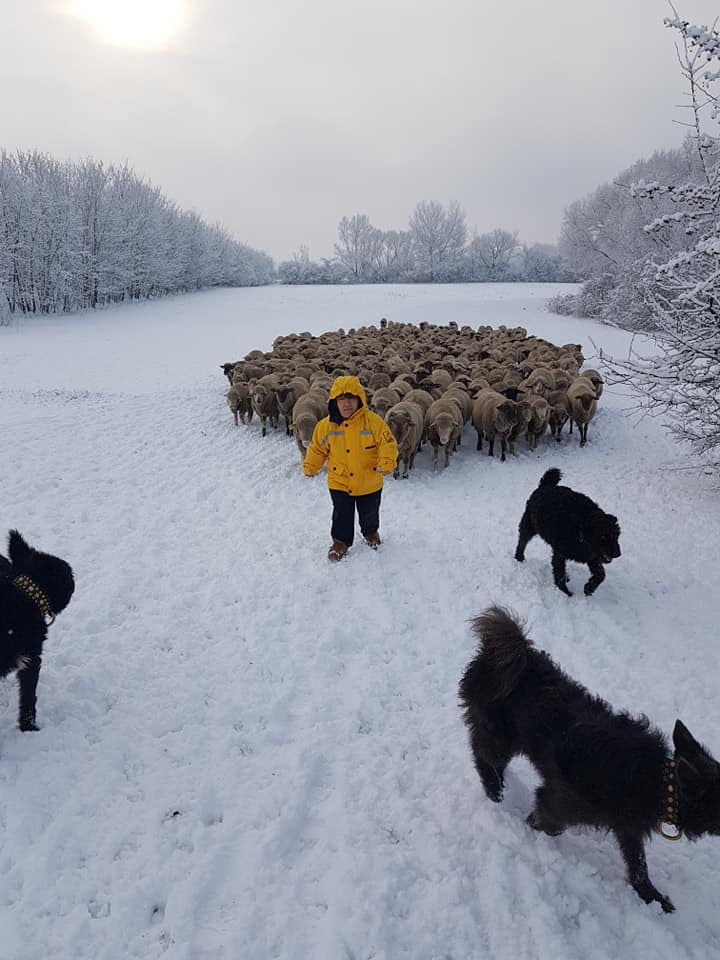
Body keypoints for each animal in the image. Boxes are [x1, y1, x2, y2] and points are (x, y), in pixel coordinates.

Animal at [458, 608, 720, 916]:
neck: (654, 780)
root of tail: (511, 652)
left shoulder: (628, 829)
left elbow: (638, 867)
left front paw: (651, 897)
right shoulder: (557, 802)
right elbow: (549, 823)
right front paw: (532, 828)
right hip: (499, 736)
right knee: (482, 755)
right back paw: (494, 789)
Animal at [516, 468, 620, 596]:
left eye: (617, 535)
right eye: (603, 536)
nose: (618, 553)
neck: (580, 528)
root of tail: (546, 485)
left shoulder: (592, 556)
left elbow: (601, 575)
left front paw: (589, 587)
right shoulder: (560, 554)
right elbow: (559, 576)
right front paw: (566, 594)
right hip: (529, 526)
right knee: (521, 542)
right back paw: (519, 558)